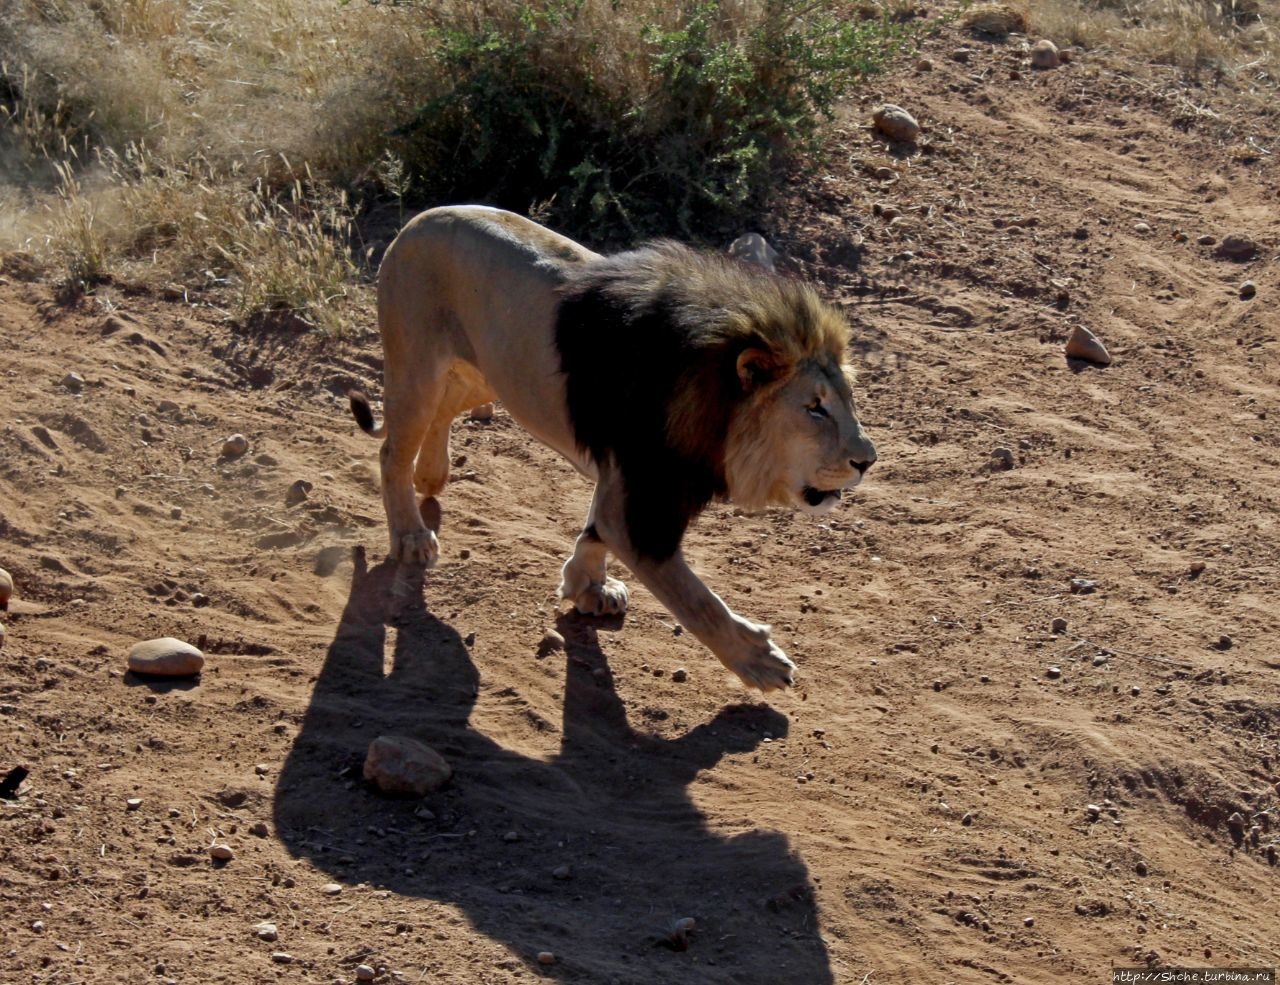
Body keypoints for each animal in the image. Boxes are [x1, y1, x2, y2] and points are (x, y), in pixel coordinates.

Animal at [348, 203, 880, 685]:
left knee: (444, 411)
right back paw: (411, 535)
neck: (716, 409)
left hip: (485, 376)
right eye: (814, 407)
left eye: (847, 399)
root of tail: (416, 221)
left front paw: (587, 589)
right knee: (392, 450)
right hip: (418, 369)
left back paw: (431, 473)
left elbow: (594, 531)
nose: (867, 461)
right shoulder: (643, 500)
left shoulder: (624, 481)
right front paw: (760, 660)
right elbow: (695, 598)